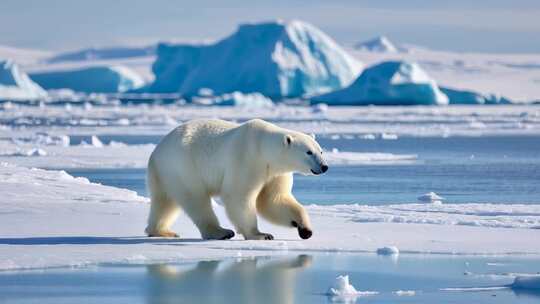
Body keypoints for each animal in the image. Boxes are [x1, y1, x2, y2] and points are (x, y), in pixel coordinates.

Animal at [146, 119, 326, 240]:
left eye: (321, 151)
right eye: (309, 152)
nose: (324, 166)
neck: (263, 148)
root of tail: (156, 152)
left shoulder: (275, 172)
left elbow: (273, 200)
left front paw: (305, 228)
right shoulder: (247, 159)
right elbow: (239, 196)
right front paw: (260, 234)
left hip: (166, 172)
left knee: (165, 201)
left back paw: (161, 231)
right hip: (184, 165)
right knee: (196, 199)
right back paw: (221, 232)